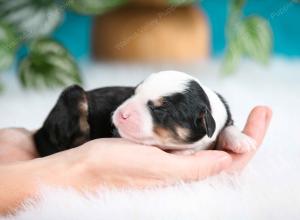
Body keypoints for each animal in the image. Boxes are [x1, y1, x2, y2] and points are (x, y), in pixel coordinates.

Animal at [34, 70, 255, 156]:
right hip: (73, 96)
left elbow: (229, 126)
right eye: (134, 93)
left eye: (159, 109)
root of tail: (40, 131)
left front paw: (242, 141)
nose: (120, 114)